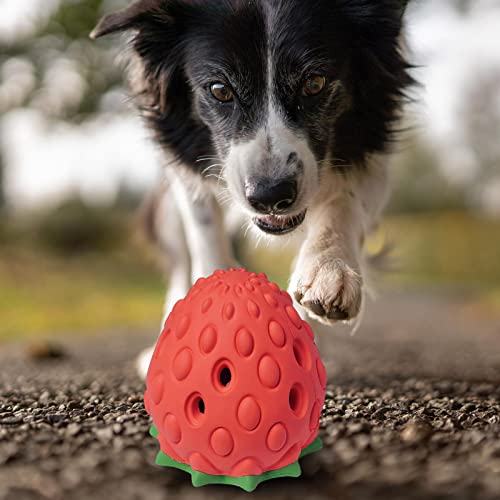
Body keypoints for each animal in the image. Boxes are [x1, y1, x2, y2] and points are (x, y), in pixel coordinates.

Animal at [92, 0, 412, 376]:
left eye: (314, 82)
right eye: (220, 90)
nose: (270, 196)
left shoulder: (373, 143)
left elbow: (343, 202)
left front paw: (328, 269)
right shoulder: (184, 165)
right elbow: (205, 236)